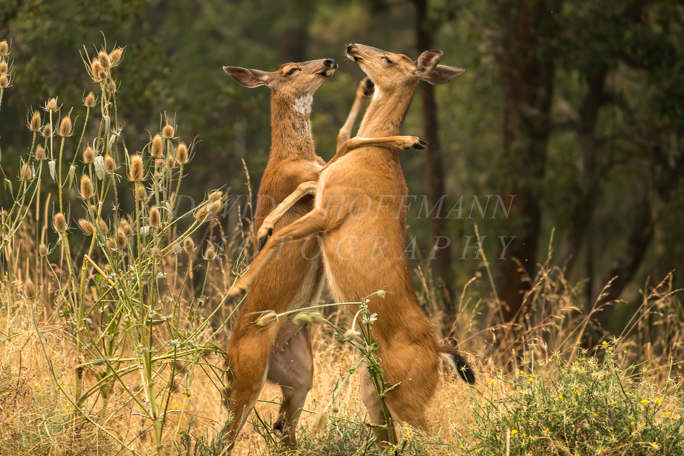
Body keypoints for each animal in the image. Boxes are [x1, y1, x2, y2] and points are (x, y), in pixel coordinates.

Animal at [228, 43, 476, 452]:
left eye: (390, 58)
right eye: (291, 68)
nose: (349, 50)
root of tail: (438, 348)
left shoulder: (329, 205)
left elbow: (288, 224)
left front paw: (241, 281)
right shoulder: (321, 189)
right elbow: (342, 143)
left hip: (396, 395)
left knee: (434, 438)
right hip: (359, 389)